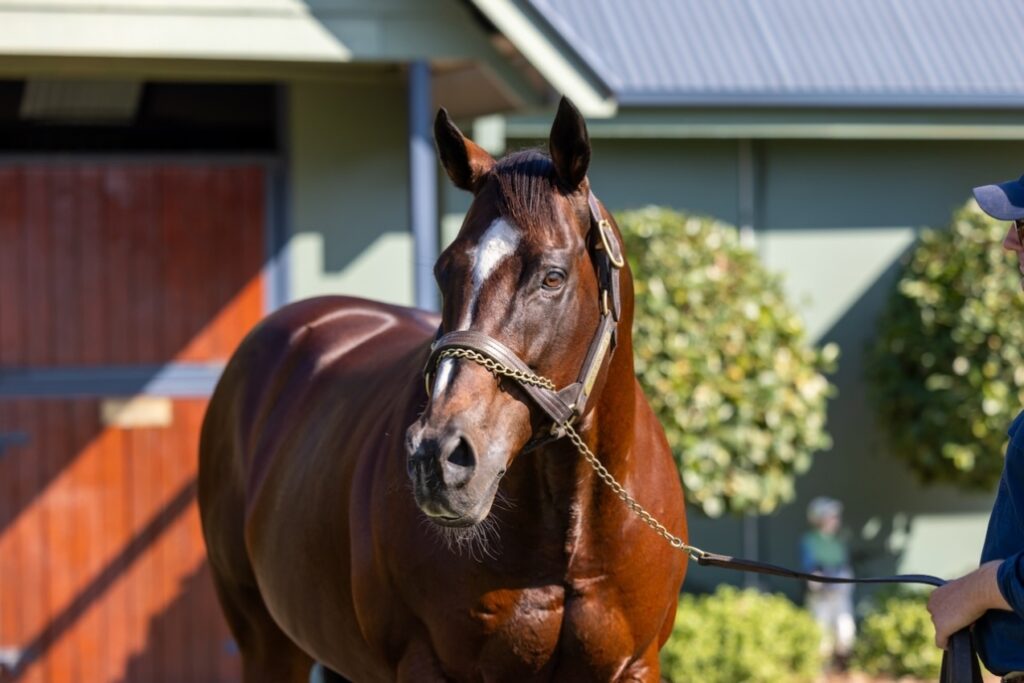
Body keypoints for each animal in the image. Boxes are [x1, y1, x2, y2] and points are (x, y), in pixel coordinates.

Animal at [198, 96, 688, 682]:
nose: (438, 457)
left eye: (552, 276)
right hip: (267, 643)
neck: (572, 541)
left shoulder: (633, 666)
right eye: (442, 270)